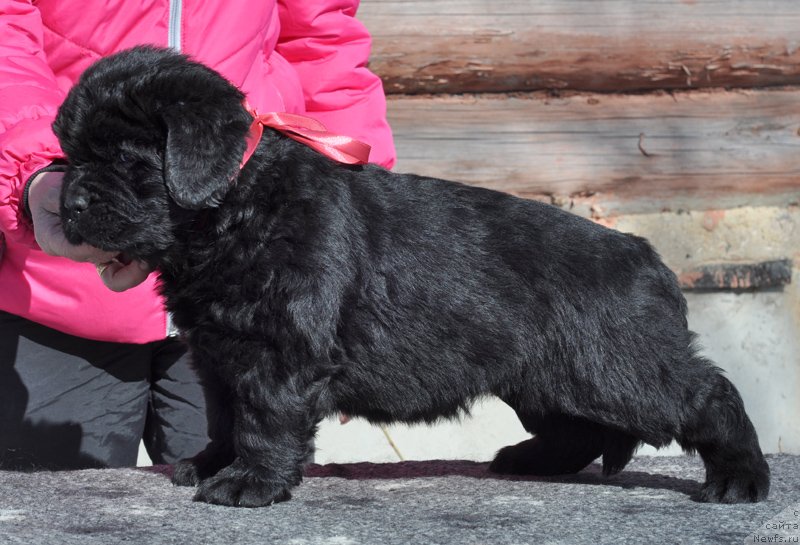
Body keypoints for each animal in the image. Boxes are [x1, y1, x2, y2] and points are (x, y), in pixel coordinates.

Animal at [54, 46, 768, 506]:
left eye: (124, 157)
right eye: (68, 153)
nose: (69, 204)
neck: (237, 206)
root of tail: (647, 256)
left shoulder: (278, 349)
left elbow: (262, 416)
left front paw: (248, 482)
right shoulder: (218, 350)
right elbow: (224, 413)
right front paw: (208, 465)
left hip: (616, 365)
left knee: (705, 394)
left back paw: (741, 478)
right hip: (545, 375)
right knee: (582, 425)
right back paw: (532, 460)